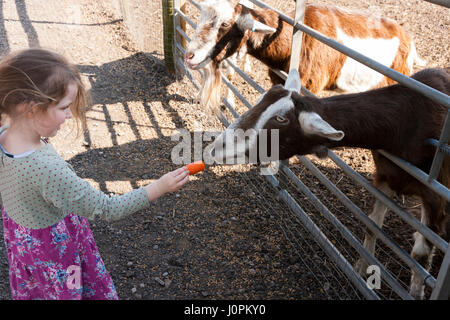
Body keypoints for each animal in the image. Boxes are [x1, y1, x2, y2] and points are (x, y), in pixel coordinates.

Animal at [210, 68, 450, 300]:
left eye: (281, 119)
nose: (215, 148)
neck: (409, 120)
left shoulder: (435, 196)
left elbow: (420, 254)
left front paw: (416, 292)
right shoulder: (384, 177)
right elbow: (371, 226)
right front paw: (361, 270)